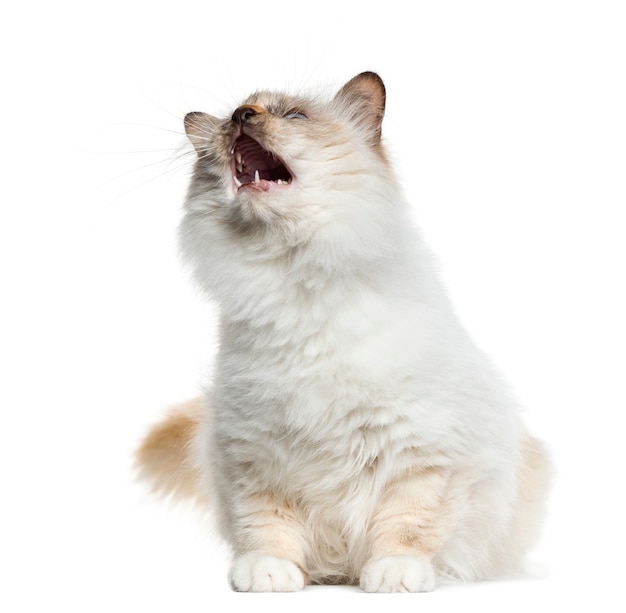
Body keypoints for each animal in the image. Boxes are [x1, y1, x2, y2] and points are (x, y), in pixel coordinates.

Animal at [134, 71, 548, 592]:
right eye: (234, 115)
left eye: (293, 116)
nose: (241, 116)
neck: (294, 282)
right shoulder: (254, 455)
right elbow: (265, 527)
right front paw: (269, 575)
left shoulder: (424, 454)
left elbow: (408, 524)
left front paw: (395, 576)